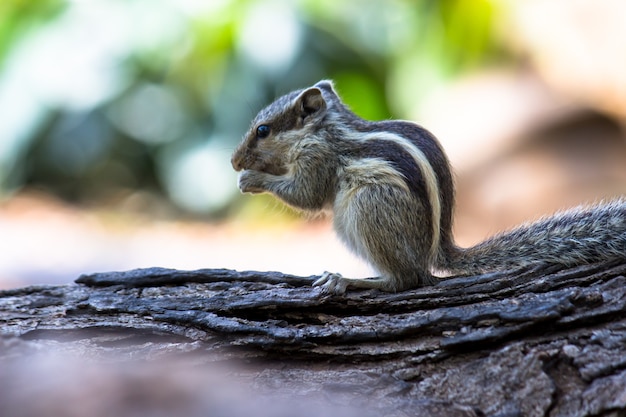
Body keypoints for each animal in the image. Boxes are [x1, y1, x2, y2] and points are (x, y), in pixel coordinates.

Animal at [230, 79, 624, 294]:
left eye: (263, 130)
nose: (234, 161)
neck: (328, 127)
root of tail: (434, 252)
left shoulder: (319, 158)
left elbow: (306, 196)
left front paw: (252, 179)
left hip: (368, 206)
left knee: (406, 280)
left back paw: (350, 281)